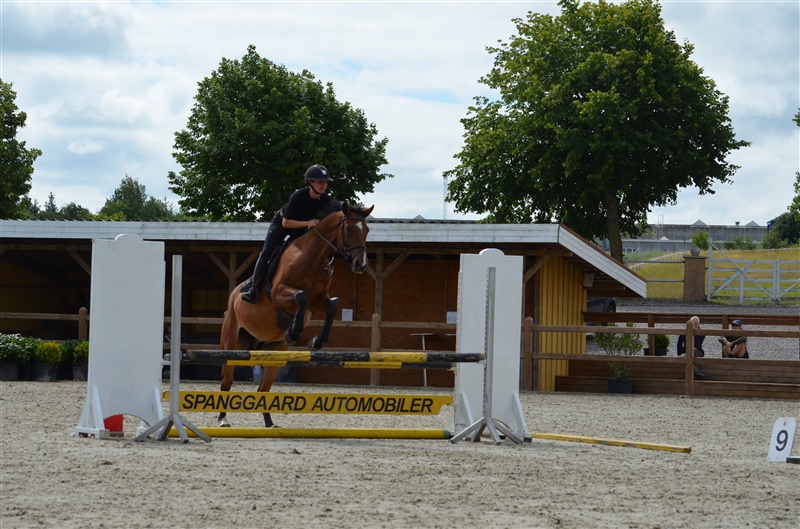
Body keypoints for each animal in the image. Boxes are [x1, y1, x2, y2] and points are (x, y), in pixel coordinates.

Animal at [218, 201, 374, 427]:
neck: (313, 258)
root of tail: (233, 295)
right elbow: (300, 296)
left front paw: (317, 341)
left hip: (274, 352)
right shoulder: (279, 294)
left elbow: (331, 307)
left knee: (263, 389)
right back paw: (223, 419)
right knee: (227, 381)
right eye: (347, 229)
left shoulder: (317, 301)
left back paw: (269, 423)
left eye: (367, 230)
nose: (360, 265)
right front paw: (293, 333)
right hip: (231, 343)